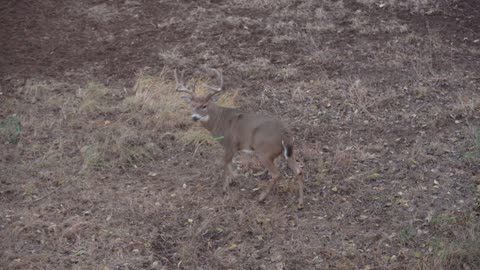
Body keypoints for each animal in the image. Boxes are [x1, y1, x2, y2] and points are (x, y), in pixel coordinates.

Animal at [175, 67, 304, 209]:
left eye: (204, 105)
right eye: (192, 105)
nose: (194, 117)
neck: (219, 121)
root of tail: (285, 134)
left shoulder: (230, 144)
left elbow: (225, 164)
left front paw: (225, 188)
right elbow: (229, 164)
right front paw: (233, 179)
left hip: (264, 152)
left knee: (276, 174)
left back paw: (261, 197)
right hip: (289, 152)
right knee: (299, 171)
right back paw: (300, 203)